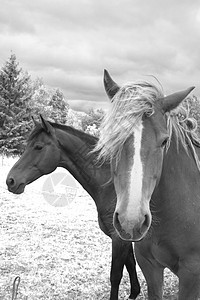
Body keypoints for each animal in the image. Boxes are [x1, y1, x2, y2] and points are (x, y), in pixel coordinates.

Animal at [6, 116, 141, 300]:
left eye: (38, 147)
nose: (10, 181)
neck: (112, 187)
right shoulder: (123, 238)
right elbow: (131, 264)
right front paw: (135, 292)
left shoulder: (119, 238)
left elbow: (116, 276)